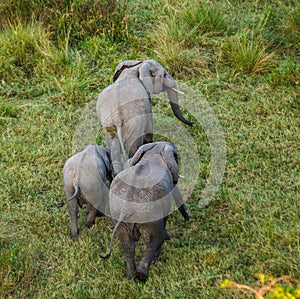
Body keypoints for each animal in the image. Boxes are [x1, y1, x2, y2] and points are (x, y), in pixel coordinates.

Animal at [102, 142, 189, 282]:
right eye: (176, 156)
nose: (187, 219)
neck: (154, 152)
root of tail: (127, 206)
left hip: (119, 213)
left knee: (127, 245)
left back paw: (131, 277)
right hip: (149, 216)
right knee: (155, 241)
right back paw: (142, 274)